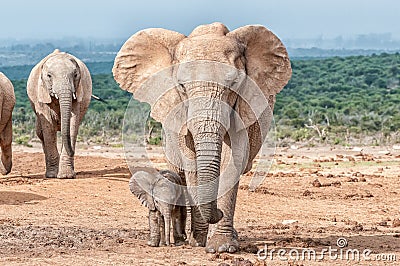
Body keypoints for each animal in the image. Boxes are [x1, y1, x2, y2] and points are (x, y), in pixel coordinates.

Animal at [27, 49, 92, 179]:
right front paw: (52, 175)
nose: (73, 151)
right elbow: (48, 129)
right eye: (49, 76)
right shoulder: (42, 93)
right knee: (40, 133)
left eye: (75, 75)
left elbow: (72, 123)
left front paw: (66, 176)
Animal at [112, 22, 290, 254]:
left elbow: (232, 161)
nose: (217, 214)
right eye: (181, 86)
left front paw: (221, 246)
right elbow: (192, 164)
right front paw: (198, 241)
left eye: (234, 83)